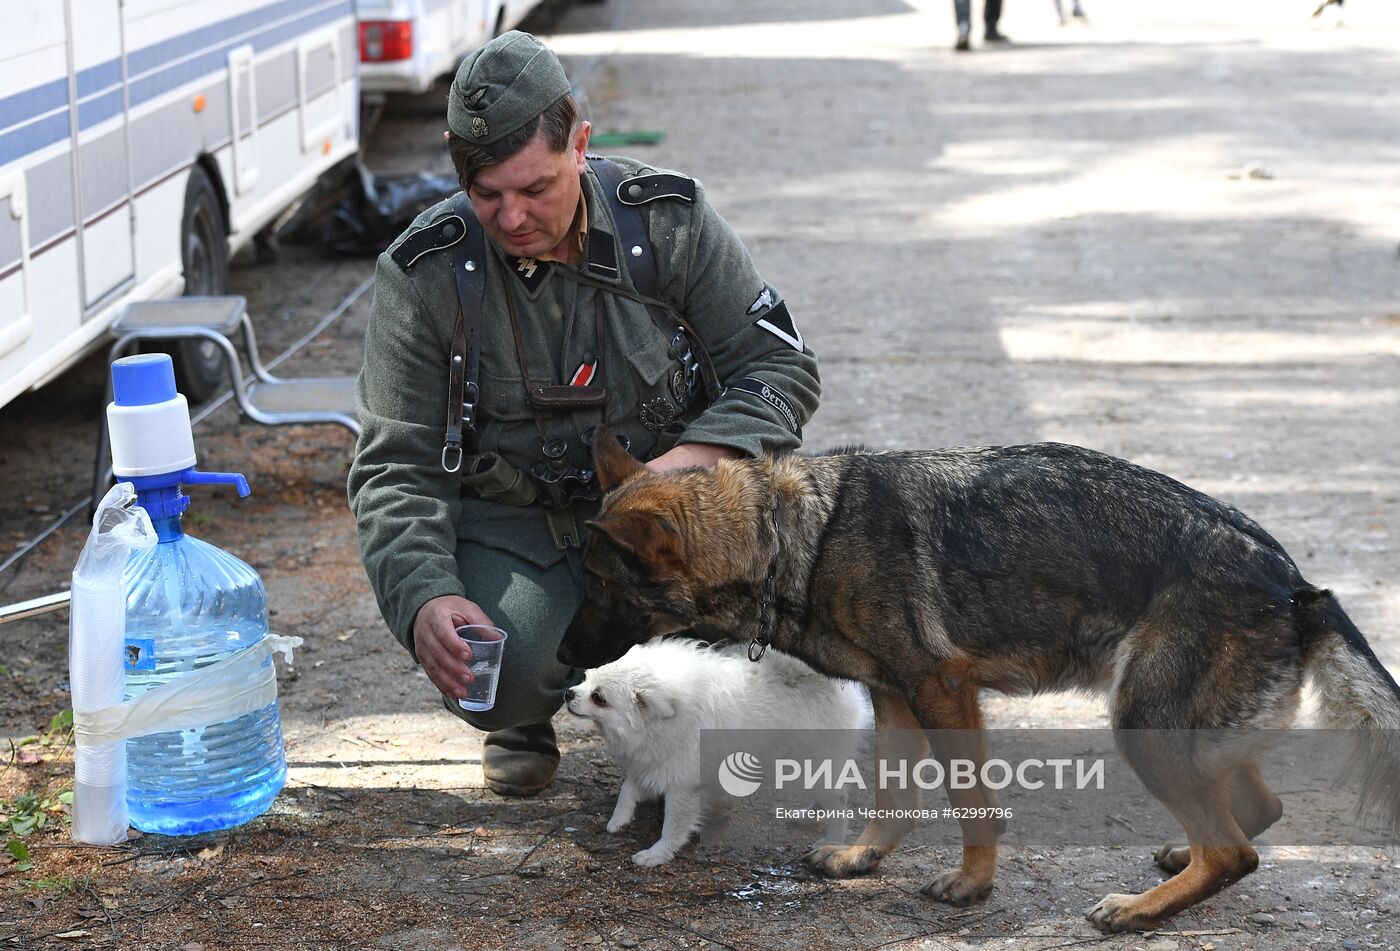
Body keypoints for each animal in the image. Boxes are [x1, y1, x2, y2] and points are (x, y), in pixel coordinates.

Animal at [562, 644, 868, 868]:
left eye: (599, 697)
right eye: (585, 678)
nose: (567, 693)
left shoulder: (683, 783)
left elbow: (673, 826)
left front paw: (657, 854)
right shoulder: (654, 760)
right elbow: (628, 787)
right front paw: (620, 818)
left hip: (807, 759)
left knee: (839, 798)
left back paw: (831, 839)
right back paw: (808, 815)